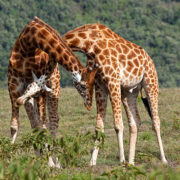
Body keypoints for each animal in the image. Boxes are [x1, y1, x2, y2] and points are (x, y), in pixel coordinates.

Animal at [8, 16, 98, 147]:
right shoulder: (13, 86)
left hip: (54, 91)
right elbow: (14, 126)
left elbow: (43, 126)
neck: (28, 43)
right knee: (37, 125)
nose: (89, 105)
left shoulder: (40, 92)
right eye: (82, 86)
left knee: (52, 121)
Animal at [62, 23, 169, 165]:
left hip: (151, 83)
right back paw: (131, 162)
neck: (89, 44)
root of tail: (150, 59)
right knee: (135, 122)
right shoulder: (101, 86)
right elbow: (99, 126)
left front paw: (121, 160)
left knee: (155, 121)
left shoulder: (113, 81)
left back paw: (163, 159)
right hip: (129, 92)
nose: (88, 105)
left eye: (82, 85)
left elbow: (118, 125)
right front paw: (92, 161)